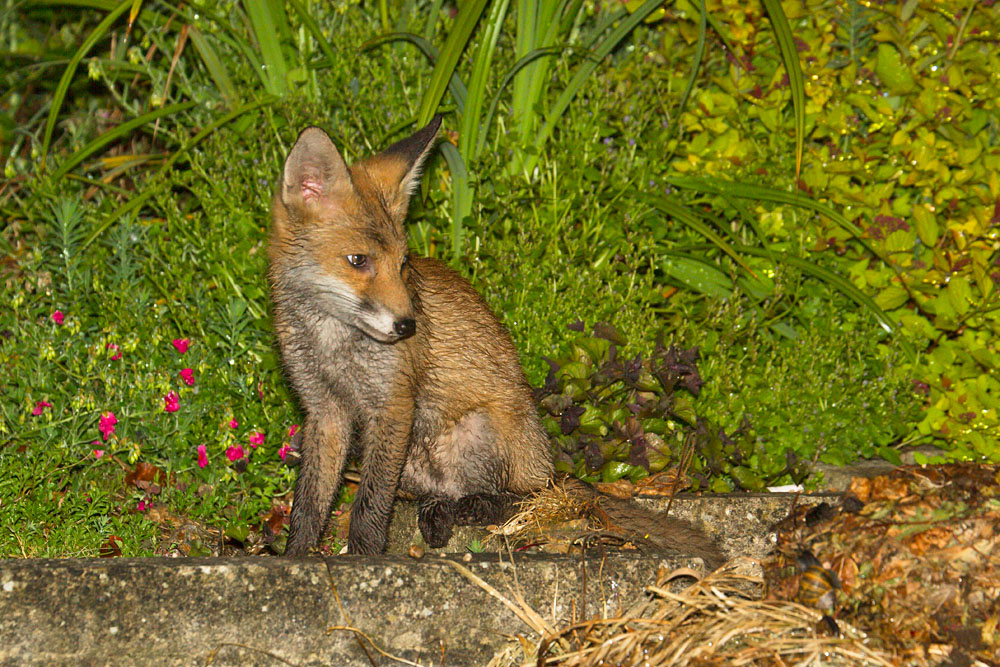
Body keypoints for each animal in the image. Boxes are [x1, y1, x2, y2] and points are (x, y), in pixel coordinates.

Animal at [269, 116, 724, 568]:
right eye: (358, 261)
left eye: (402, 264)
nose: (407, 326)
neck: (331, 339)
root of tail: (548, 465)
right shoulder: (325, 411)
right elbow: (308, 504)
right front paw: (297, 556)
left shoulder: (393, 406)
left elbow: (370, 505)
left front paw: (363, 558)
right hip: (414, 457)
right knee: (445, 495)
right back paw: (438, 510)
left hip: (480, 427)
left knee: (528, 498)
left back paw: (484, 505)